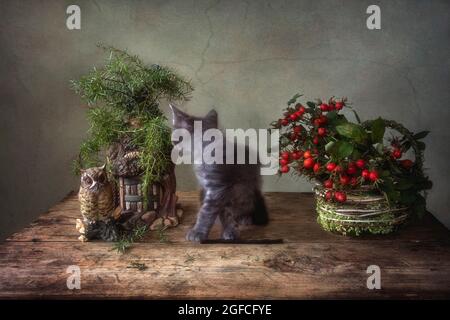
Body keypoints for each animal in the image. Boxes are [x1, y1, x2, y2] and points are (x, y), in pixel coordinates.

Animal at [169, 104, 268, 241]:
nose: (171, 142)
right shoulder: (214, 189)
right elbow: (223, 213)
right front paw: (227, 229)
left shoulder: (218, 188)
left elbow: (206, 212)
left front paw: (198, 232)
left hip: (246, 190)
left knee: (247, 206)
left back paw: (244, 218)